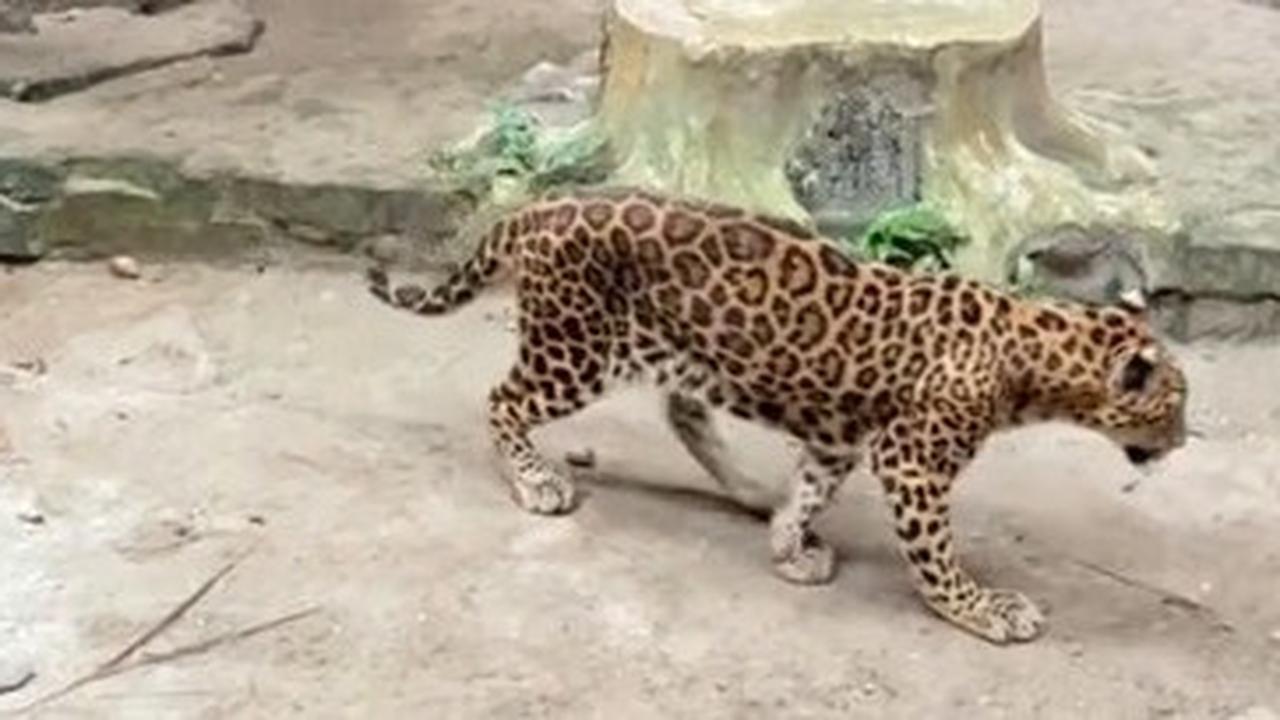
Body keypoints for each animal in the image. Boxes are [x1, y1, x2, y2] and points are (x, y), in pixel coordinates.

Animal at [366, 187, 1189, 644]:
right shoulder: (914, 463)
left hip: (674, 348)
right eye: (1174, 403)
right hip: (579, 349)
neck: (1039, 355)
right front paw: (983, 611)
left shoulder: (840, 441)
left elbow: (811, 491)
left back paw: (752, 492)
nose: (1181, 441)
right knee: (503, 401)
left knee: (683, 410)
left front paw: (790, 545)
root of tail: (534, 210)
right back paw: (537, 483)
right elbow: (937, 557)